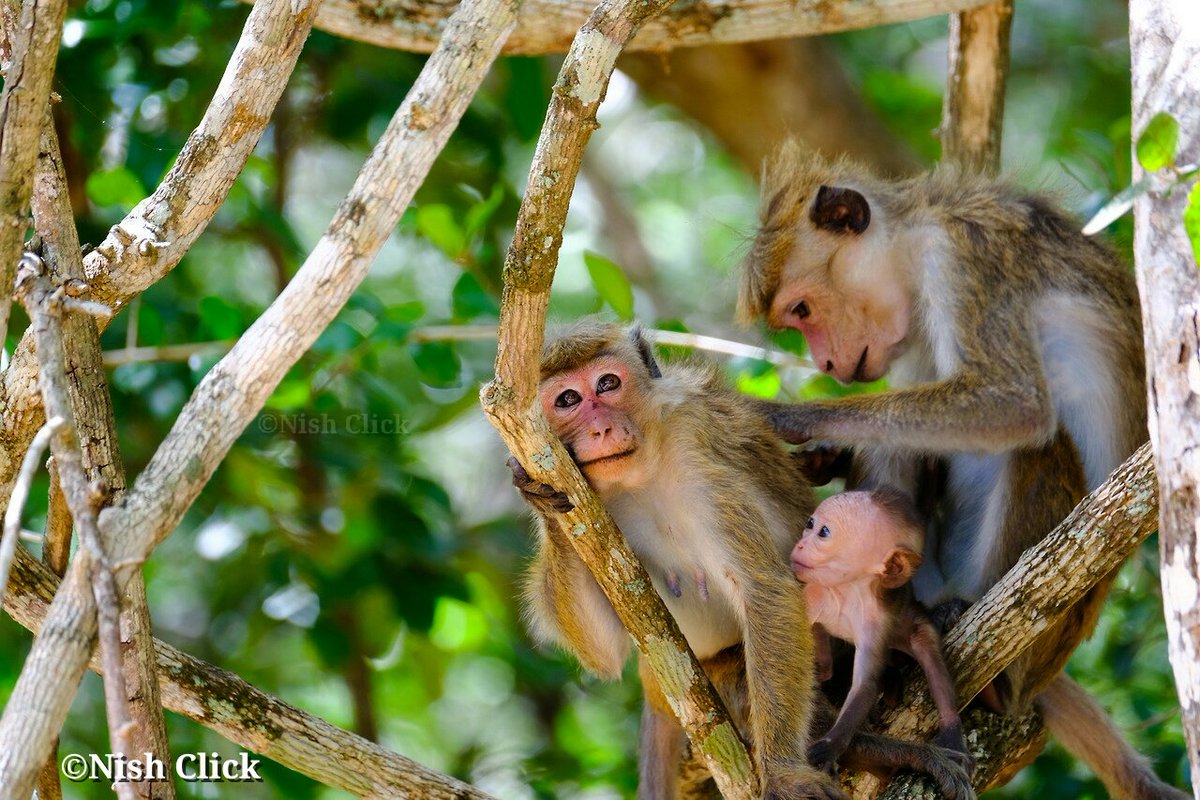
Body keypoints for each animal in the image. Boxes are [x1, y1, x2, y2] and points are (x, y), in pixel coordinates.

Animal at [791, 488, 969, 775]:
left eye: (824, 532)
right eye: (810, 524)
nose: (801, 545)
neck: (846, 591)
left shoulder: (874, 623)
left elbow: (865, 685)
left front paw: (828, 747)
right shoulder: (812, 595)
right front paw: (820, 667)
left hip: (911, 624)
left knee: (929, 655)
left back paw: (951, 731)